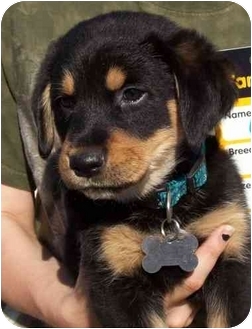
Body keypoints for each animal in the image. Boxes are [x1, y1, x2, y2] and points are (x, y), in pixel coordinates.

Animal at [32, 11, 250, 326]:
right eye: (65, 102)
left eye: (133, 94)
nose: (83, 163)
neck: (162, 203)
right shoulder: (115, 273)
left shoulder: (232, 251)